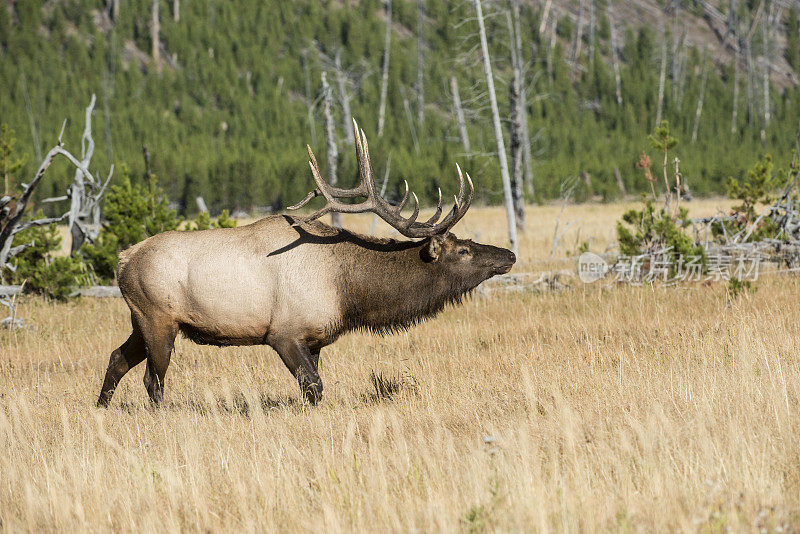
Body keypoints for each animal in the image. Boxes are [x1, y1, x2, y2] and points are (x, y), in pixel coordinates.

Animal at [97, 120, 516, 406]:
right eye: (462, 251)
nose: (509, 255)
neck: (349, 292)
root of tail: (123, 259)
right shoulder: (283, 333)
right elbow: (314, 387)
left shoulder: (316, 338)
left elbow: (312, 386)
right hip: (158, 319)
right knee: (153, 380)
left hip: (142, 320)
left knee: (117, 357)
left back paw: (102, 408)